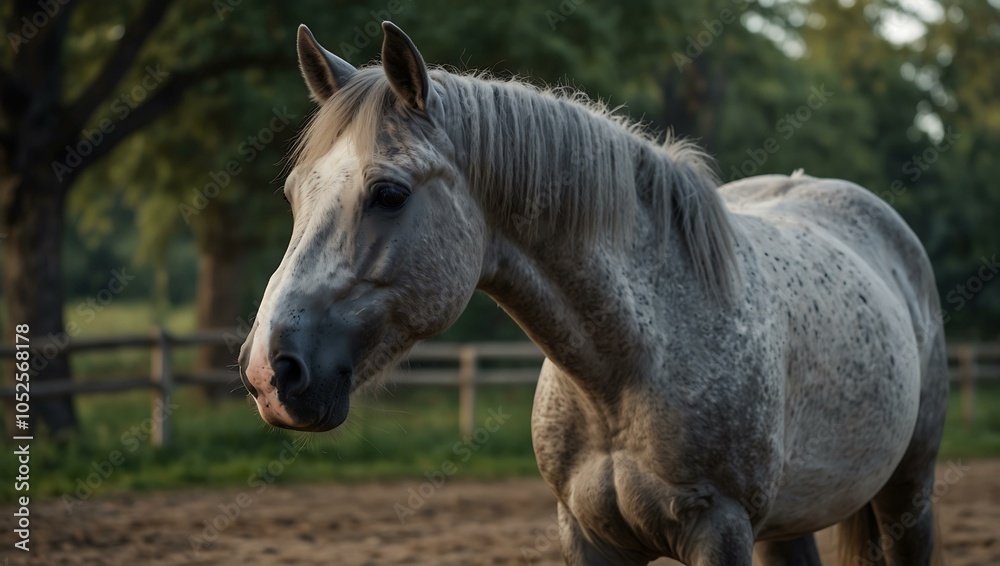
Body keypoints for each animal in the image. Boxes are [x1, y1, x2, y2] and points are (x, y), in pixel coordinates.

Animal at [238, 22, 948, 566]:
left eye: (388, 193)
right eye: (294, 194)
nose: (268, 371)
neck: (629, 366)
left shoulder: (720, 532)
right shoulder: (586, 535)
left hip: (908, 494)